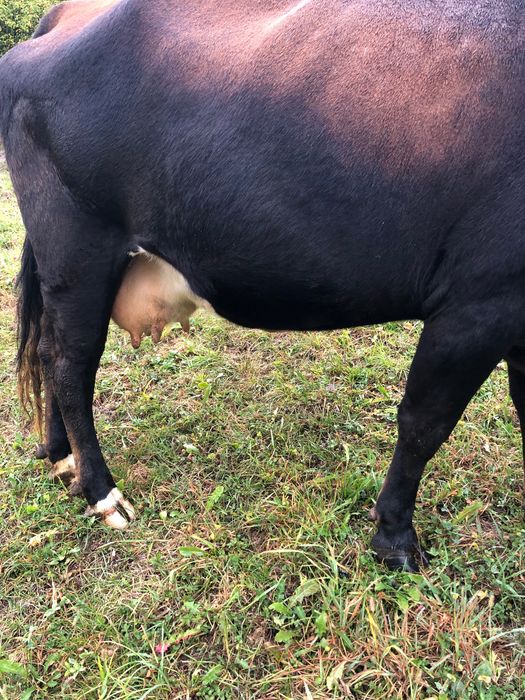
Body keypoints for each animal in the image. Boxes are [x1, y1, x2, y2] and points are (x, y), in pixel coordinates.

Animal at [0, 0, 524, 572]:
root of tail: (62, 18)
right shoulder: (479, 305)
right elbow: (423, 425)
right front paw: (396, 539)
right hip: (77, 250)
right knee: (70, 364)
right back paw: (100, 491)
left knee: (49, 350)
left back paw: (62, 457)